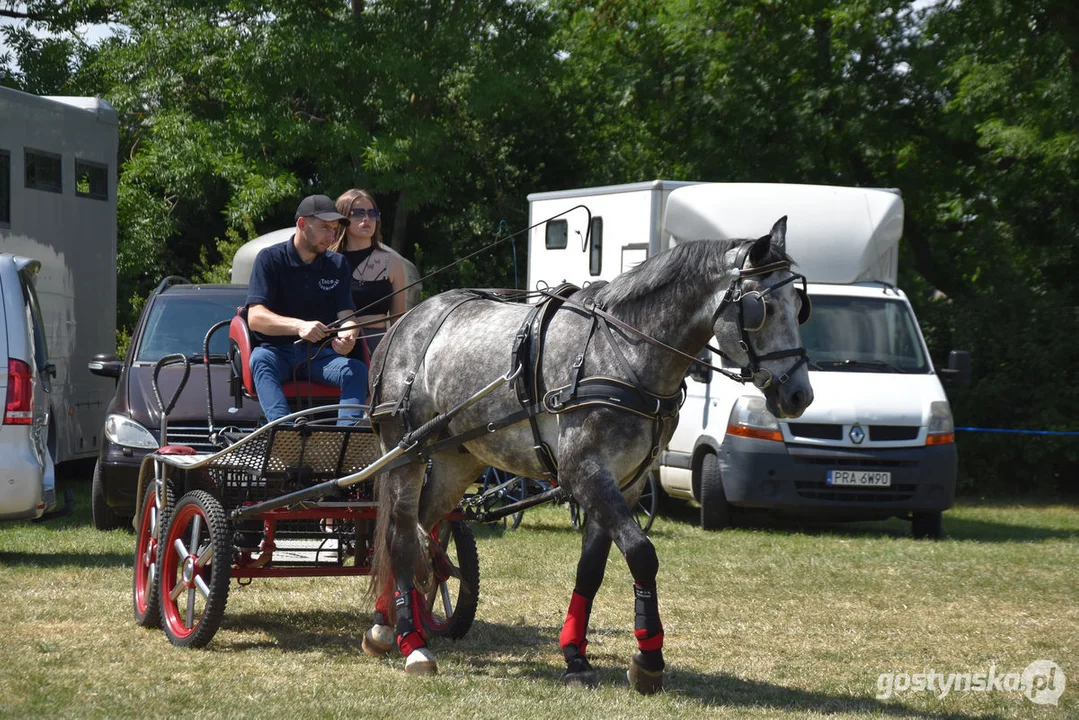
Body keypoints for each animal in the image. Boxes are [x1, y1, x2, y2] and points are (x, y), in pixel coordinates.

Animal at [360, 218, 811, 690]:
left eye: (800, 306)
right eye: (762, 308)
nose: (799, 395)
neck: (625, 352)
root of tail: (403, 322)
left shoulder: (626, 482)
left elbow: (590, 570)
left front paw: (575, 654)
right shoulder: (585, 472)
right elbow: (641, 553)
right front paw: (648, 660)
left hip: (454, 458)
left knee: (421, 532)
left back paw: (385, 625)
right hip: (404, 452)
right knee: (400, 536)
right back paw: (412, 643)